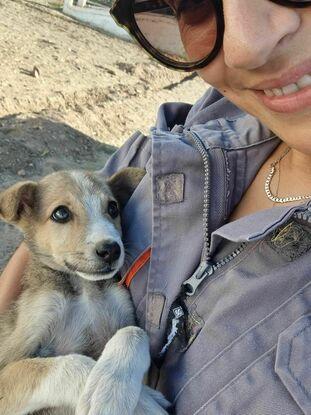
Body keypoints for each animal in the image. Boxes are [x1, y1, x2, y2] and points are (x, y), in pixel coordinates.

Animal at [0, 168, 168, 415]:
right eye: (61, 213)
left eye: (113, 208)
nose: (111, 249)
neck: (84, 289)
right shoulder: (10, 358)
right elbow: (63, 364)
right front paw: (138, 403)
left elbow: (133, 331)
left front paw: (113, 384)